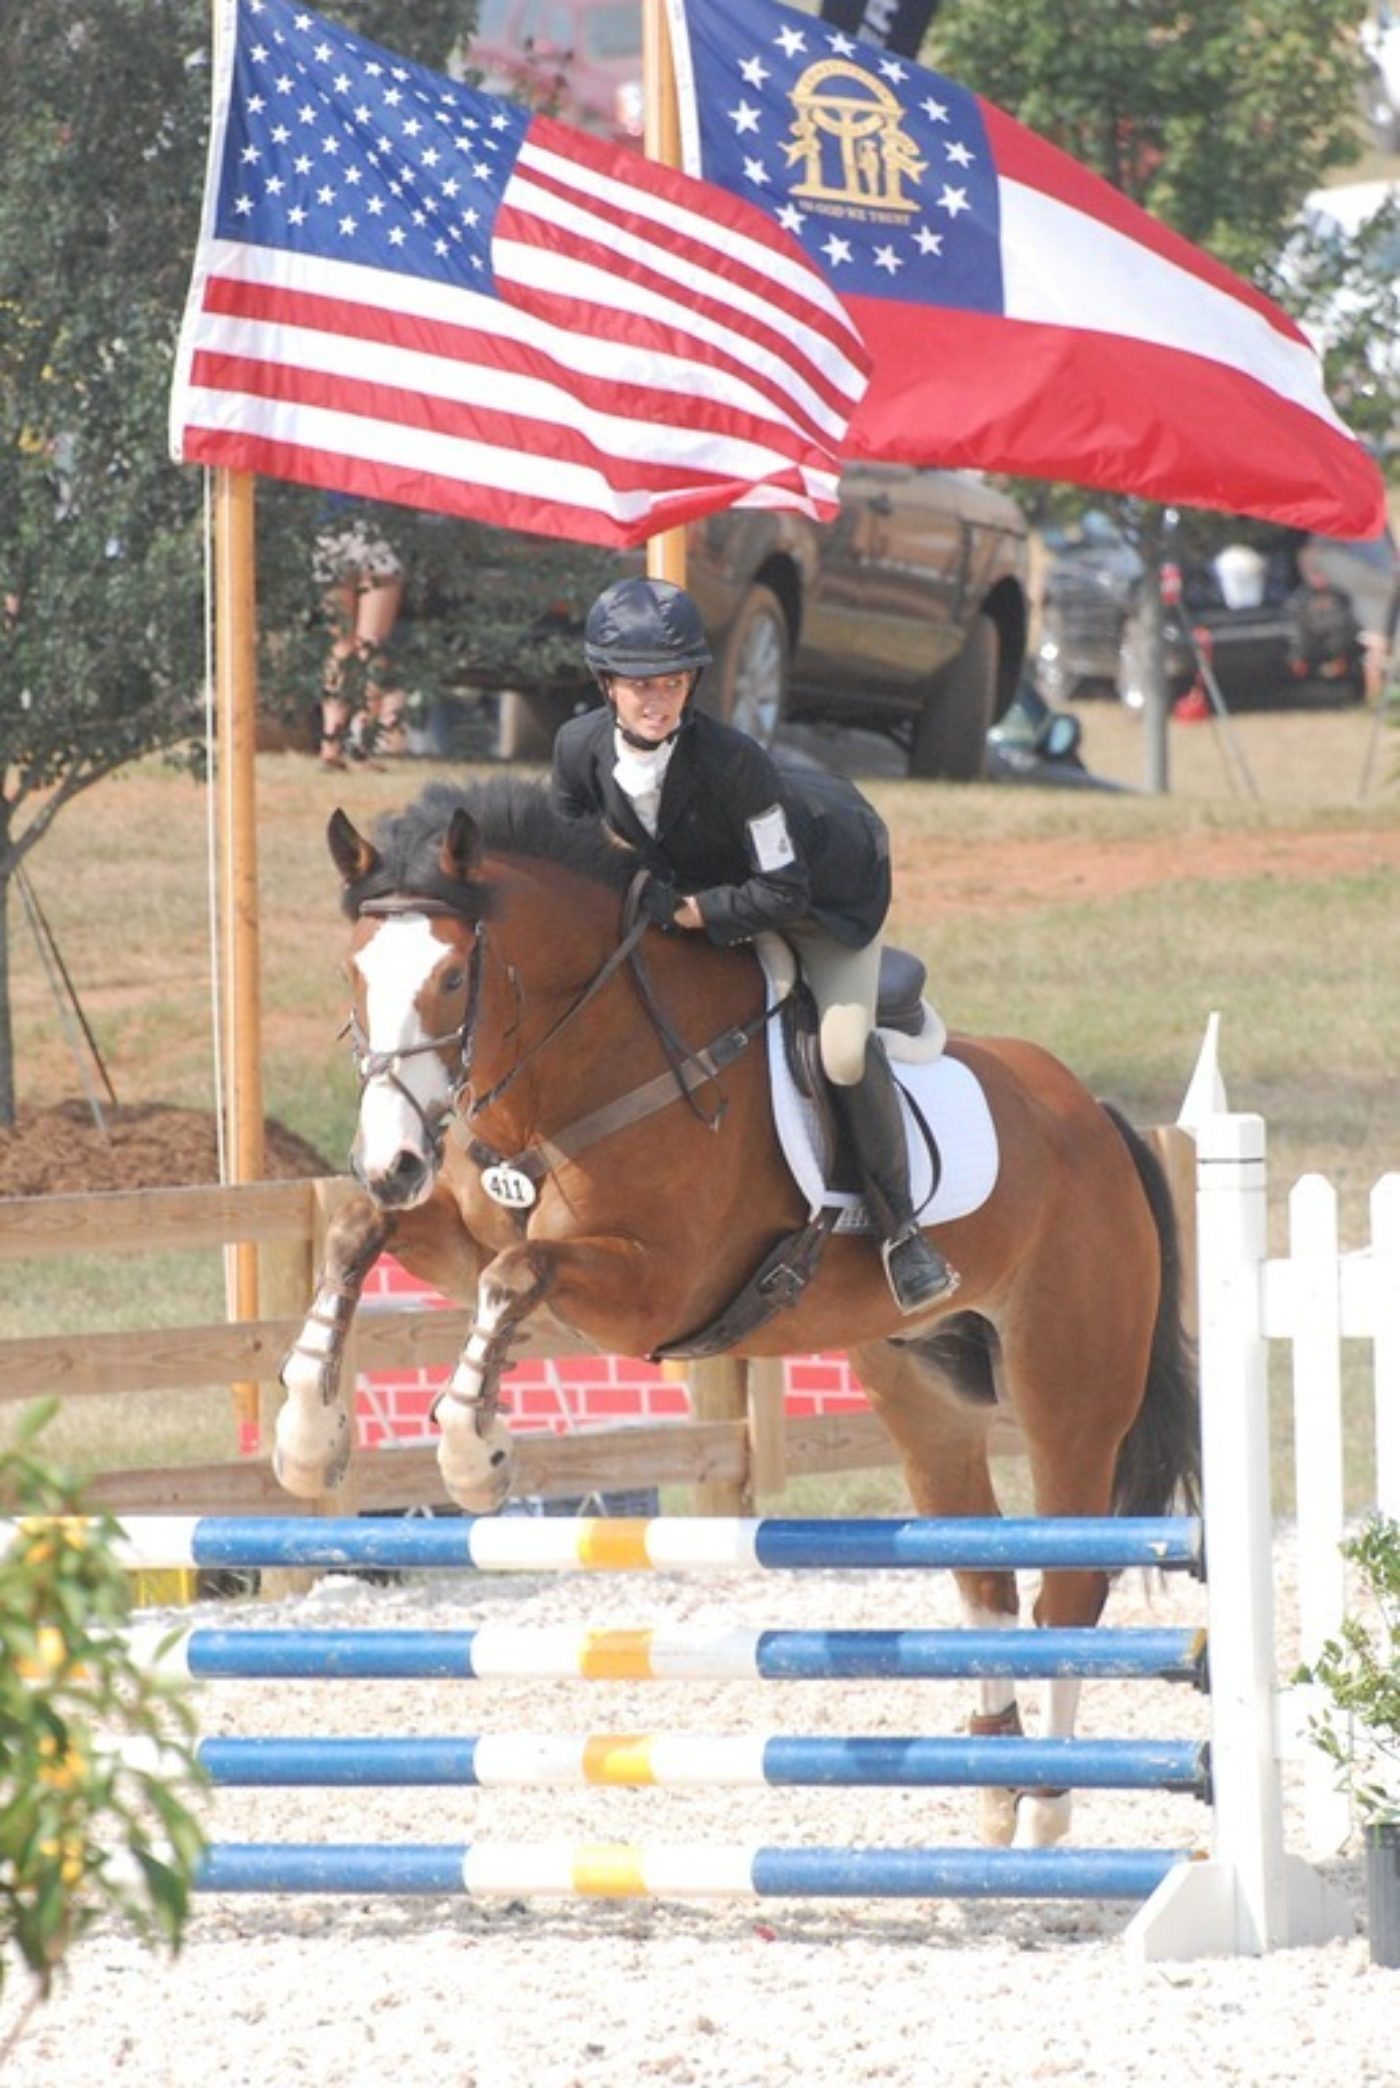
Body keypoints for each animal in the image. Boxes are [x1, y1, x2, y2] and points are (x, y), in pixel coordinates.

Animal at [280, 780, 1203, 1845]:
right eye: (353, 974)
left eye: (453, 974)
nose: (390, 1158)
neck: (575, 1070)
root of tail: (1099, 1120)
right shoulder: (455, 1231)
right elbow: (363, 1232)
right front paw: (307, 1437)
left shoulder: (655, 1291)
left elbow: (514, 1275)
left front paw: (475, 1451)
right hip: (924, 1392)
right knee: (985, 1578)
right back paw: (996, 1788)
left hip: (1069, 1392)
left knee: (1069, 1585)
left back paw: (1049, 1804)